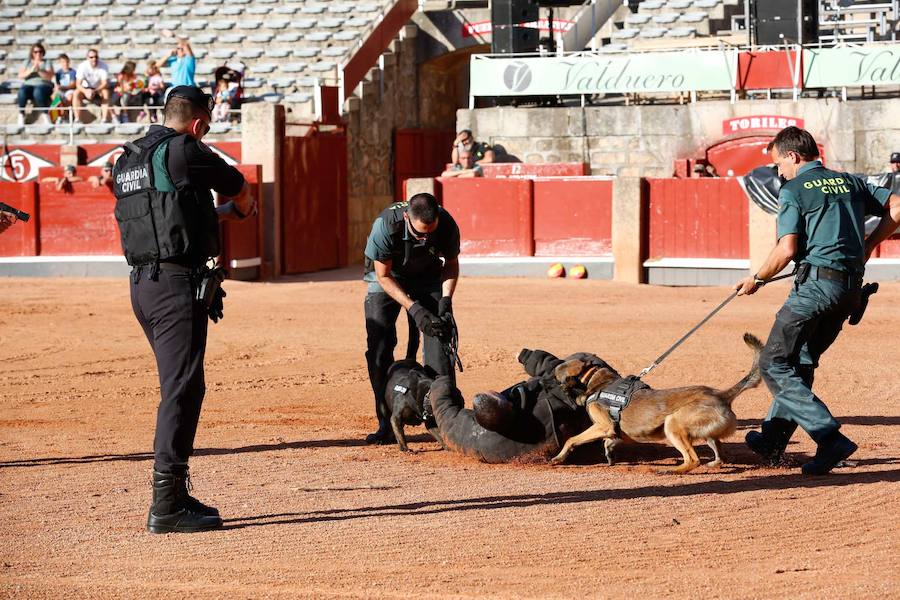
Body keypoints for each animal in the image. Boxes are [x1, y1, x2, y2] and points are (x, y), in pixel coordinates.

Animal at [548, 336, 760, 472]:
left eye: (555, 377)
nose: (544, 383)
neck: (594, 380)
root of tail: (722, 394)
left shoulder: (602, 425)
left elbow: (571, 439)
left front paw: (559, 458)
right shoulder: (613, 430)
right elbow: (610, 440)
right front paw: (609, 452)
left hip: (673, 424)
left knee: (693, 459)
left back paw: (672, 470)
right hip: (707, 433)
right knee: (721, 457)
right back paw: (712, 464)